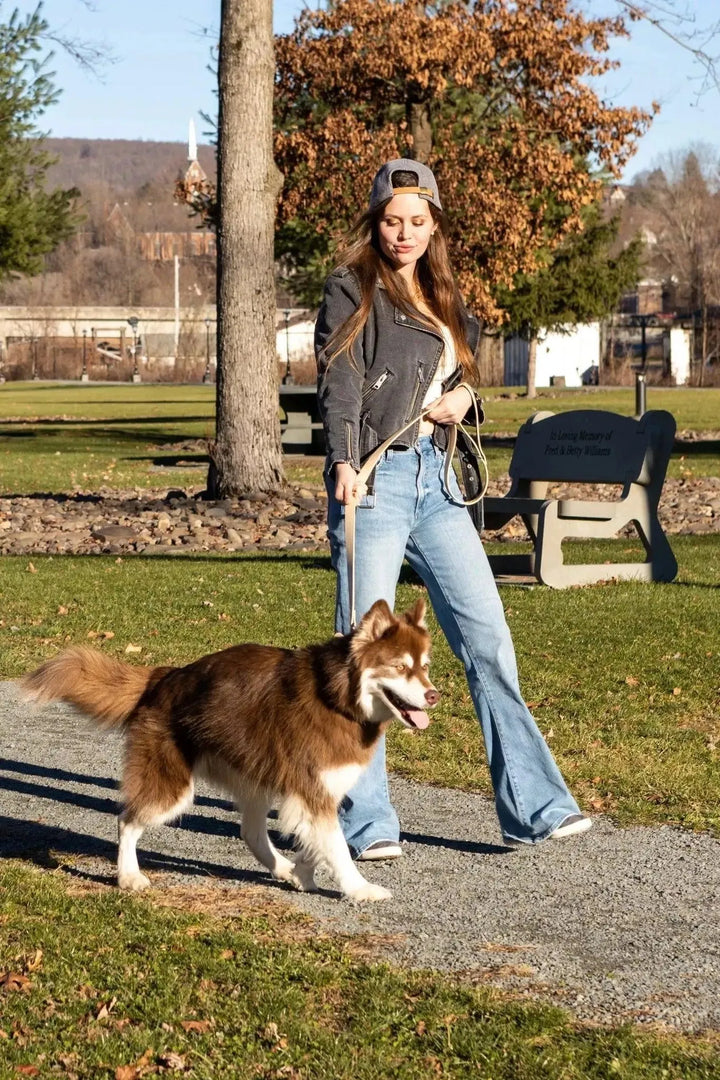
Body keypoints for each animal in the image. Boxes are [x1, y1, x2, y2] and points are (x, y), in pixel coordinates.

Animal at [21, 600, 440, 902]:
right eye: (400, 667)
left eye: (425, 667)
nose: (434, 695)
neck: (338, 697)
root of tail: (164, 676)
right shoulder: (313, 790)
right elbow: (335, 847)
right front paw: (359, 889)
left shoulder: (314, 794)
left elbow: (318, 842)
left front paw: (301, 873)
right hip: (173, 787)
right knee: (127, 821)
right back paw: (129, 876)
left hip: (255, 773)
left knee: (251, 832)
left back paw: (281, 869)